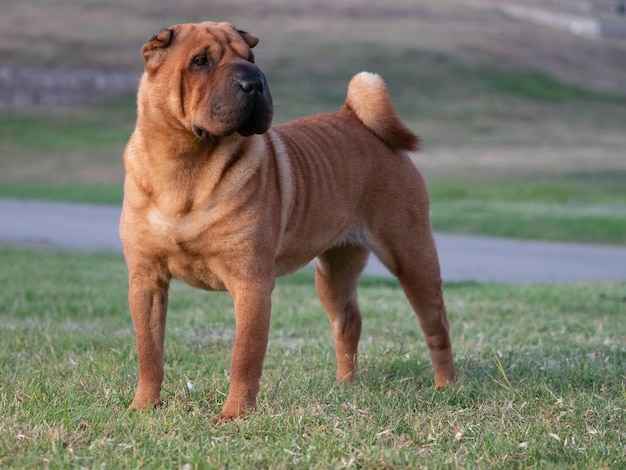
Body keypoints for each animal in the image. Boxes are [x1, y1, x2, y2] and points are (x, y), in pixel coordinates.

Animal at [119, 21, 456, 422]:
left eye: (250, 58)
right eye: (200, 61)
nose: (253, 82)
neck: (185, 167)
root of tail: (354, 117)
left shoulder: (251, 283)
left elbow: (244, 358)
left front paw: (233, 416)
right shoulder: (147, 280)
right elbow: (149, 352)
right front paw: (143, 407)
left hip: (411, 255)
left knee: (436, 324)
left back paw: (447, 386)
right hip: (333, 272)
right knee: (348, 321)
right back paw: (345, 386)